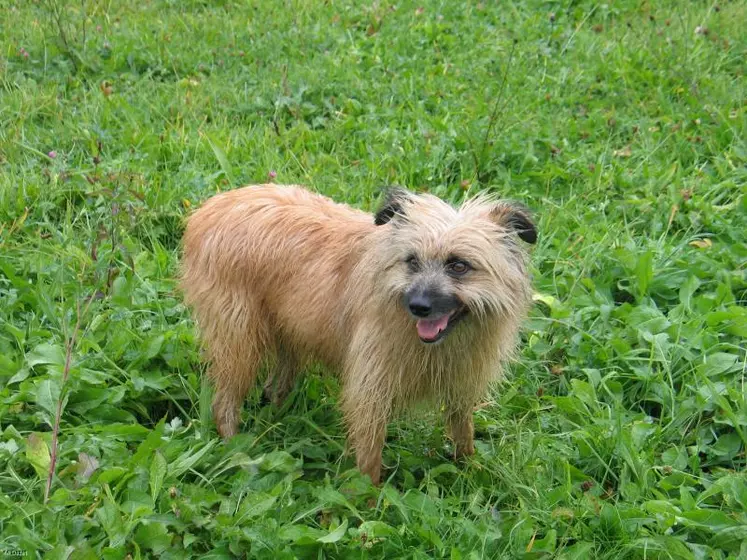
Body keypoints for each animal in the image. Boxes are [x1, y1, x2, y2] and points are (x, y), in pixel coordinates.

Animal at [184, 185, 540, 486]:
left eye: (459, 265)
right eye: (412, 261)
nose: (418, 306)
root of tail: (210, 209)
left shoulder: (461, 383)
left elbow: (463, 429)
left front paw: (468, 470)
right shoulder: (371, 387)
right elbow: (370, 451)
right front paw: (370, 498)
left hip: (289, 329)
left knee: (277, 382)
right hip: (240, 341)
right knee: (224, 402)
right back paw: (235, 448)